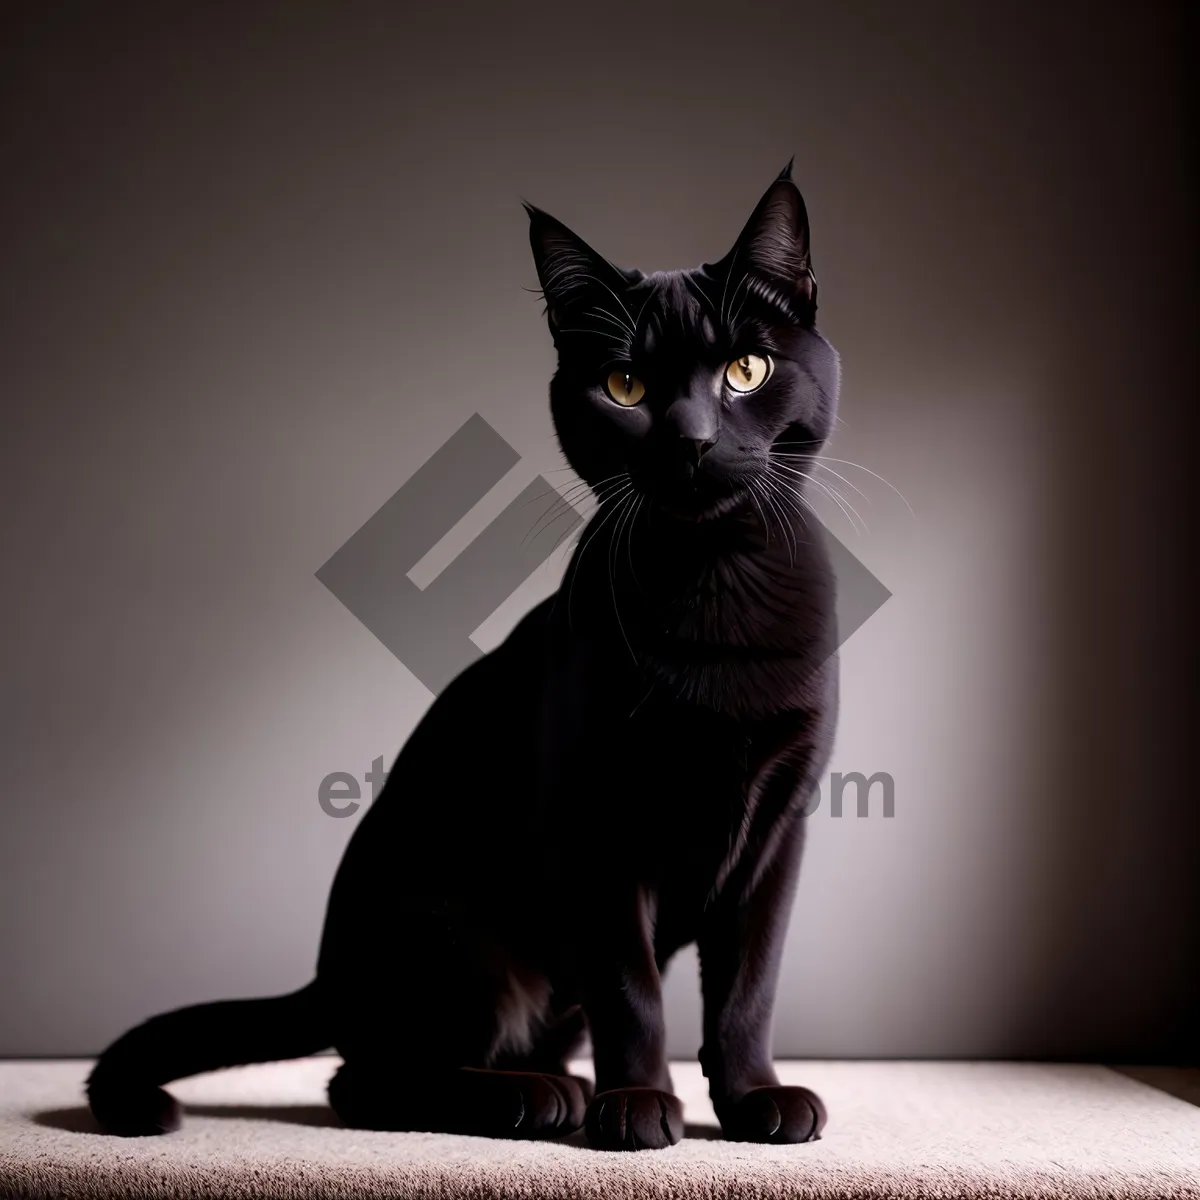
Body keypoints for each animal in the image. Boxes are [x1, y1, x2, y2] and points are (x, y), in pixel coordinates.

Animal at [87, 164, 835, 1147]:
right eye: (625, 385)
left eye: (747, 370)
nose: (691, 439)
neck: (715, 581)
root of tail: (328, 975)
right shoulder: (599, 826)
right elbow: (633, 988)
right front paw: (637, 1107)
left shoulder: (779, 828)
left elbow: (750, 983)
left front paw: (753, 1101)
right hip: (461, 933)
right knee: (365, 1079)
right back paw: (531, 1097)